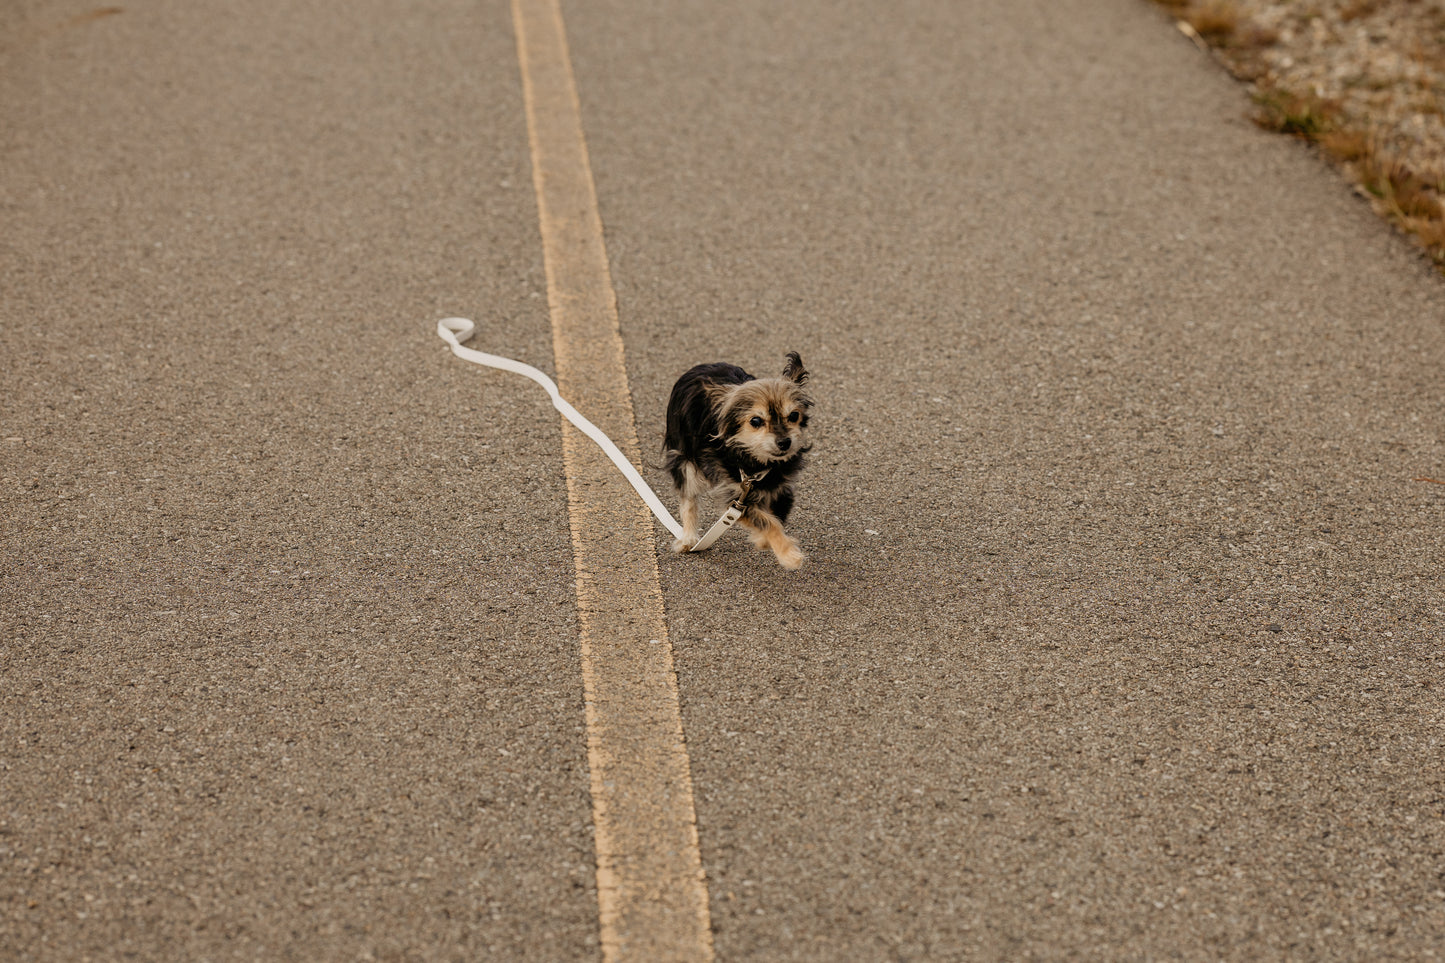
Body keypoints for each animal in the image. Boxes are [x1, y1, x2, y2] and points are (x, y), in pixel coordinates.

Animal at [661, 351, 814, 563]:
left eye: (793, 416)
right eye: (756, 421)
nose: (785, 442)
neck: (758, 464)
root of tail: (699, 366)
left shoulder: (781, 488)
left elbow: (777, 517)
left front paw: (763, 541)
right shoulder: (736, 498)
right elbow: (767, 522)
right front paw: (789, 555)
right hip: (684, 460)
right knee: (688, 500)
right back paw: (688, 539)